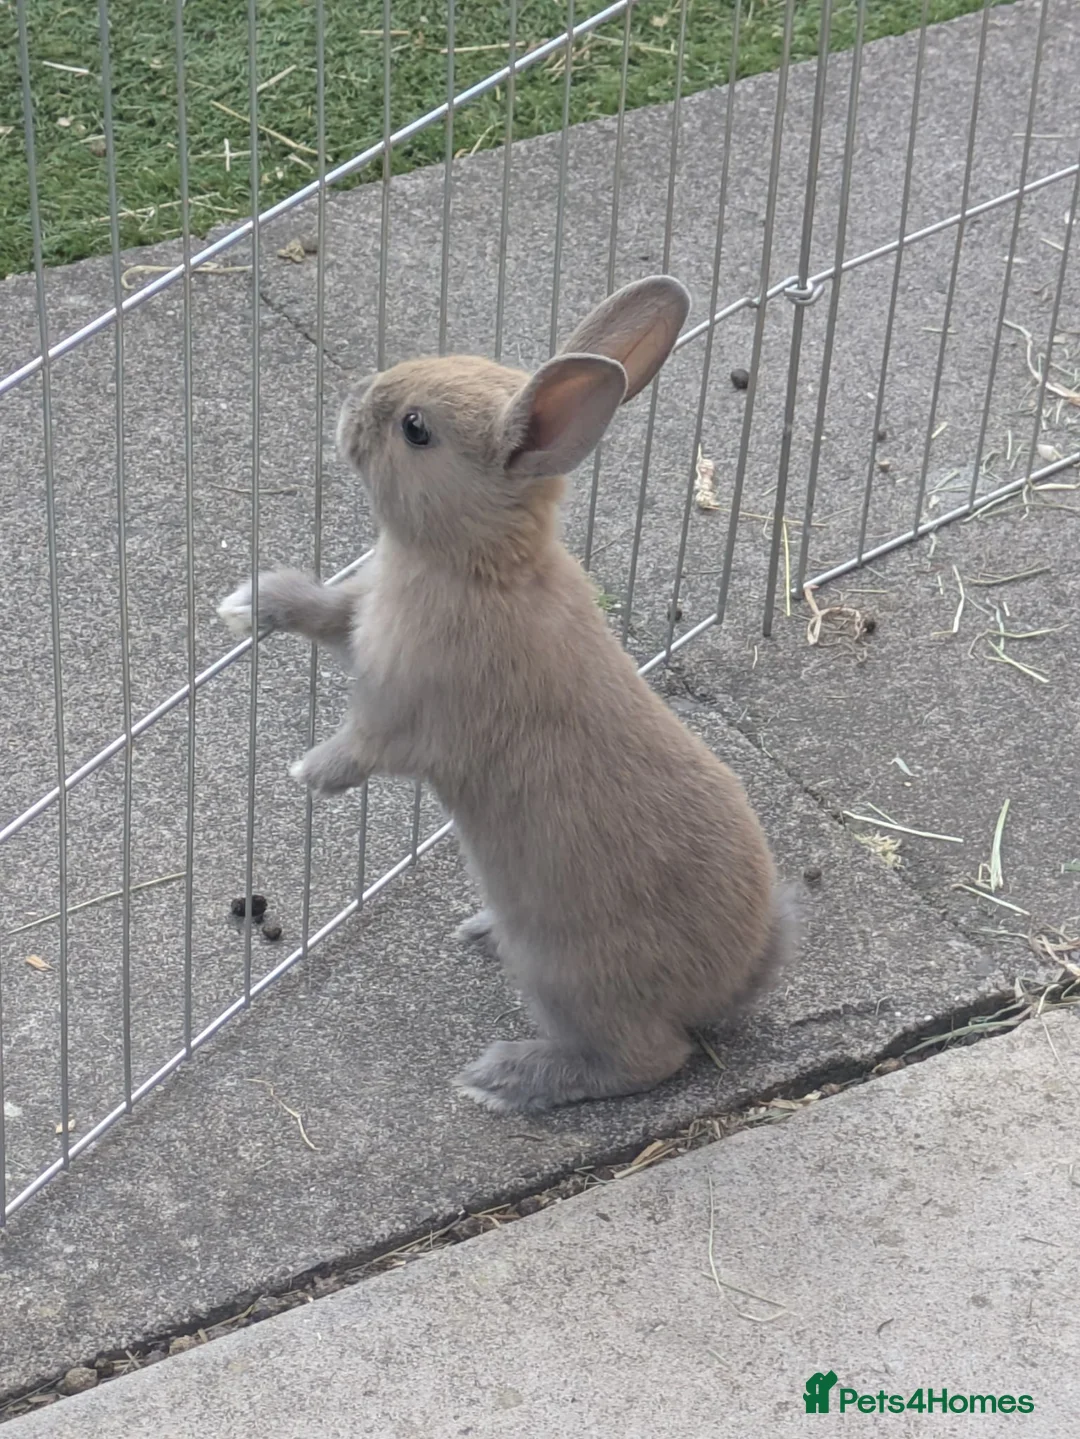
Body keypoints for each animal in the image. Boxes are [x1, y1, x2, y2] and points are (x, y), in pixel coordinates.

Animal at [217, 275, 794, 1114]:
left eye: (415, 429)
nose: (355, 401)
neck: (476, 564)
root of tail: (735, 979)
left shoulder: (409, 713)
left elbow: (362, 748)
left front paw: (307, 774)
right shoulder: (361, 620)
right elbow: (325, 611)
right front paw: (249, 603)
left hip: (568, 977)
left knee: (645, 1058)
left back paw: (502, 1077)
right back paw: (480, 940)